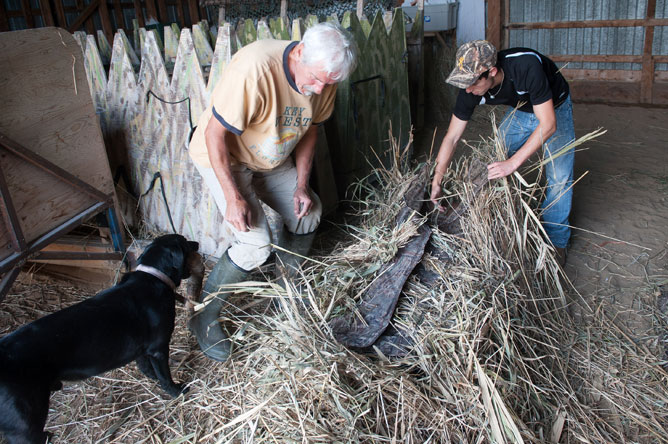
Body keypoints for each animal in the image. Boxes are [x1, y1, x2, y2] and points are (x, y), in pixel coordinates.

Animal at [0, 234, 198, 442]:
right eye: (185, 243)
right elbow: (165, 376)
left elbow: (146, 367)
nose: (197, 244)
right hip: (25, 422)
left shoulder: (142, 349)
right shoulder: (158, 348)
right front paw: (177, 391)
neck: (153, 276)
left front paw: (153, 379)